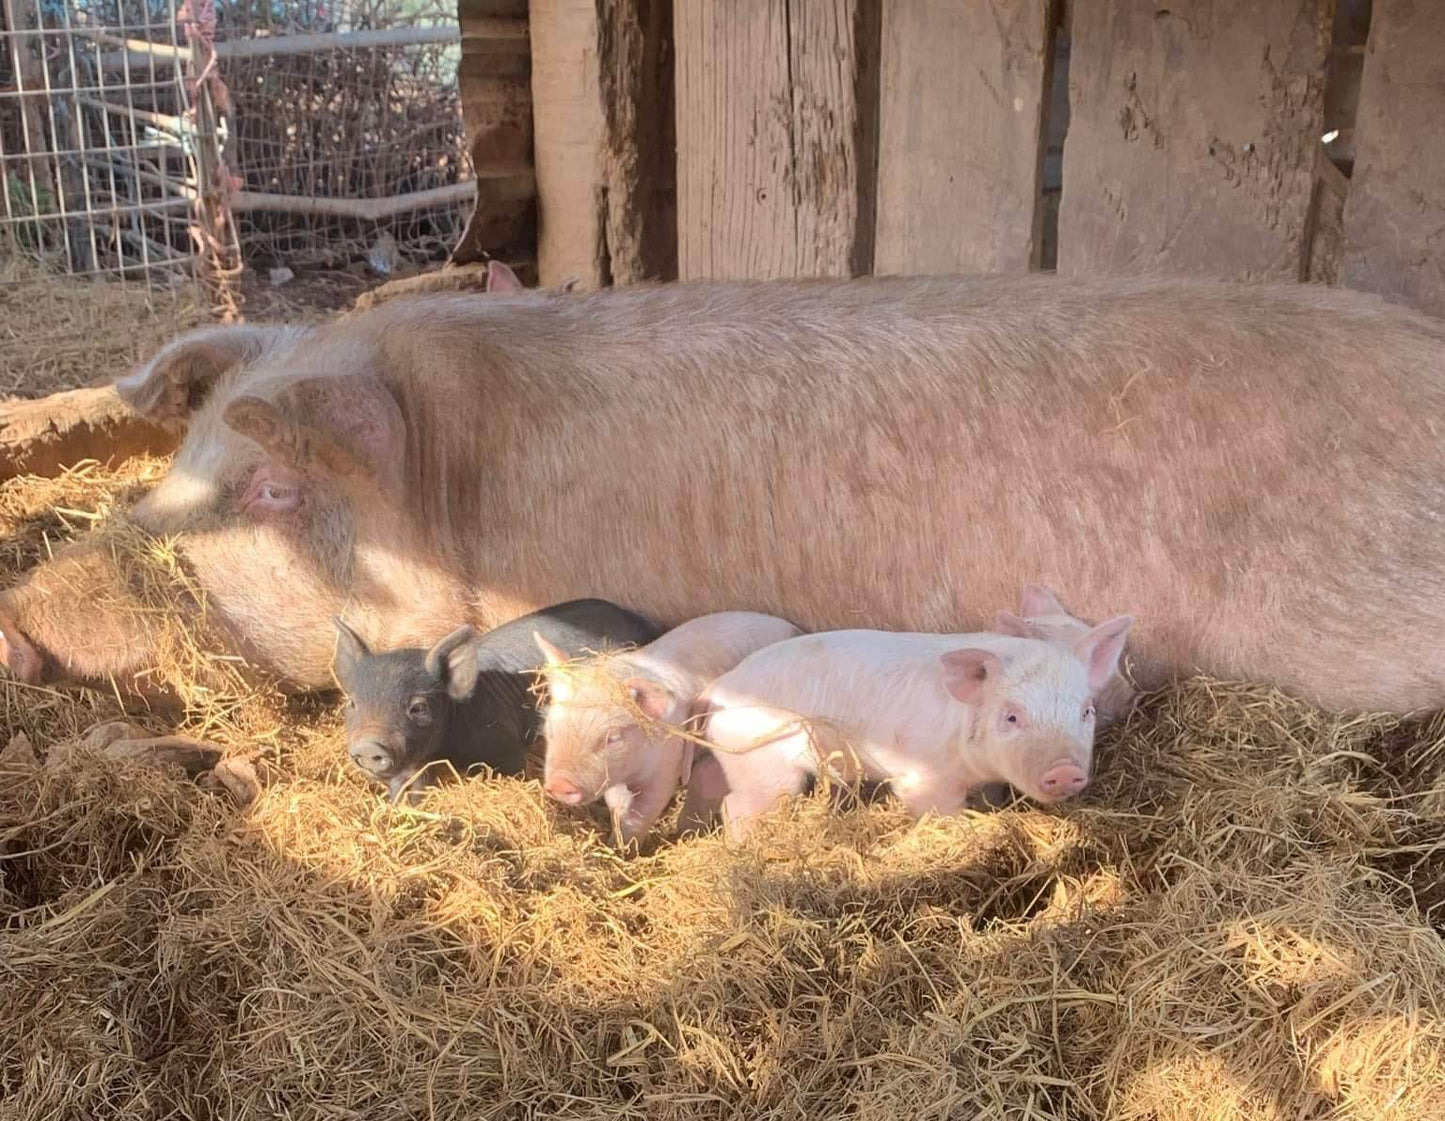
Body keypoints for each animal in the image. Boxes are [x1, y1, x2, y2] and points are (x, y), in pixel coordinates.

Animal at [536, 611, 801, 843]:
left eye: (613, 737)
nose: (558, 785)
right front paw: (616, 843)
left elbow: (646, 808)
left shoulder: (667, 763)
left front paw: (625, 848)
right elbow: (617, 806)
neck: (633, 769)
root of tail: (793, 627)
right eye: (551, 729)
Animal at [700, 616, 1134, 838]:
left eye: (1086, 711)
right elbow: (938, 811)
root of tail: (721, 685)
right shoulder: (926, 777)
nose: (1065, 771)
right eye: (1011, 716)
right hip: (762, 766)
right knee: (736, 805)